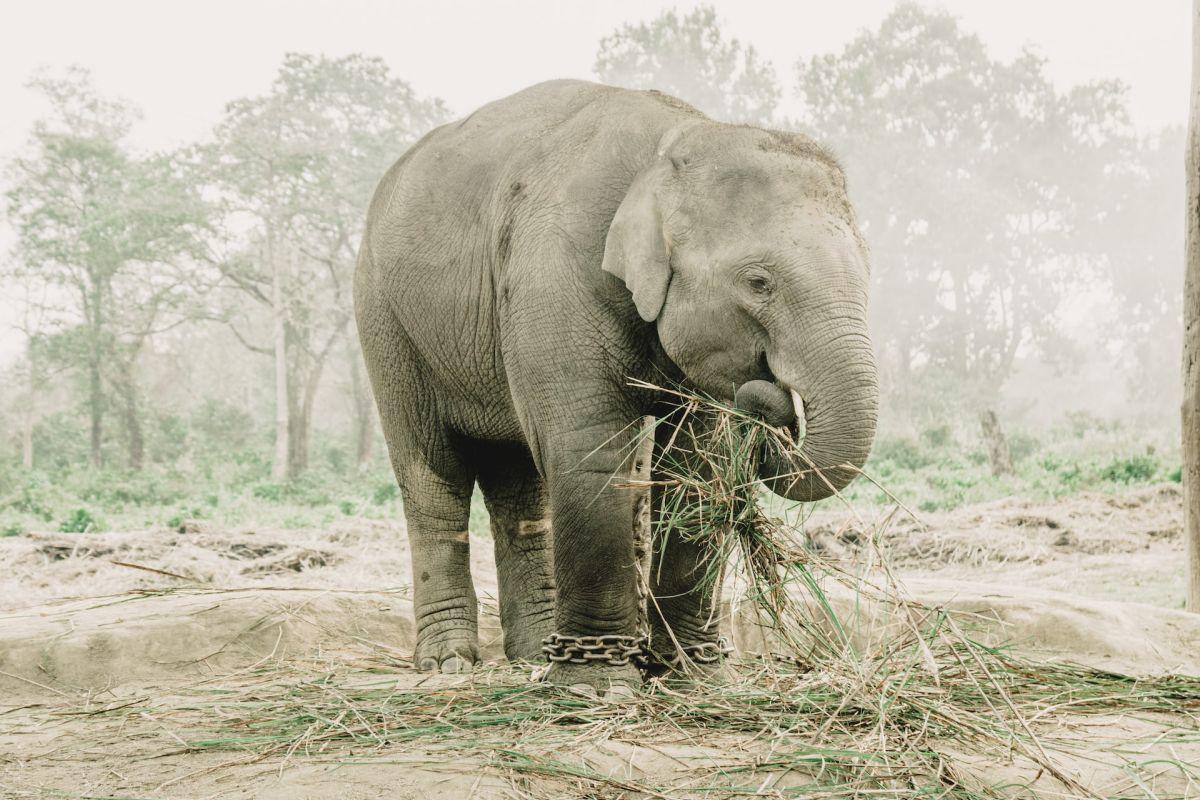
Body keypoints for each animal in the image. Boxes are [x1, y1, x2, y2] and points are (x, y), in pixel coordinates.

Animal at [350, 77, 878, 695]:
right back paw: (449, 663)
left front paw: (695, 678)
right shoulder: (555, 272)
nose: (772, 403)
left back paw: (531, 654)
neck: (670, 145)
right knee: (433, 474)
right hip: (385, 320)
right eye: (758, 282)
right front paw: (595, 687)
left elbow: (699, 467)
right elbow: (593, 452)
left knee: (519, 483)